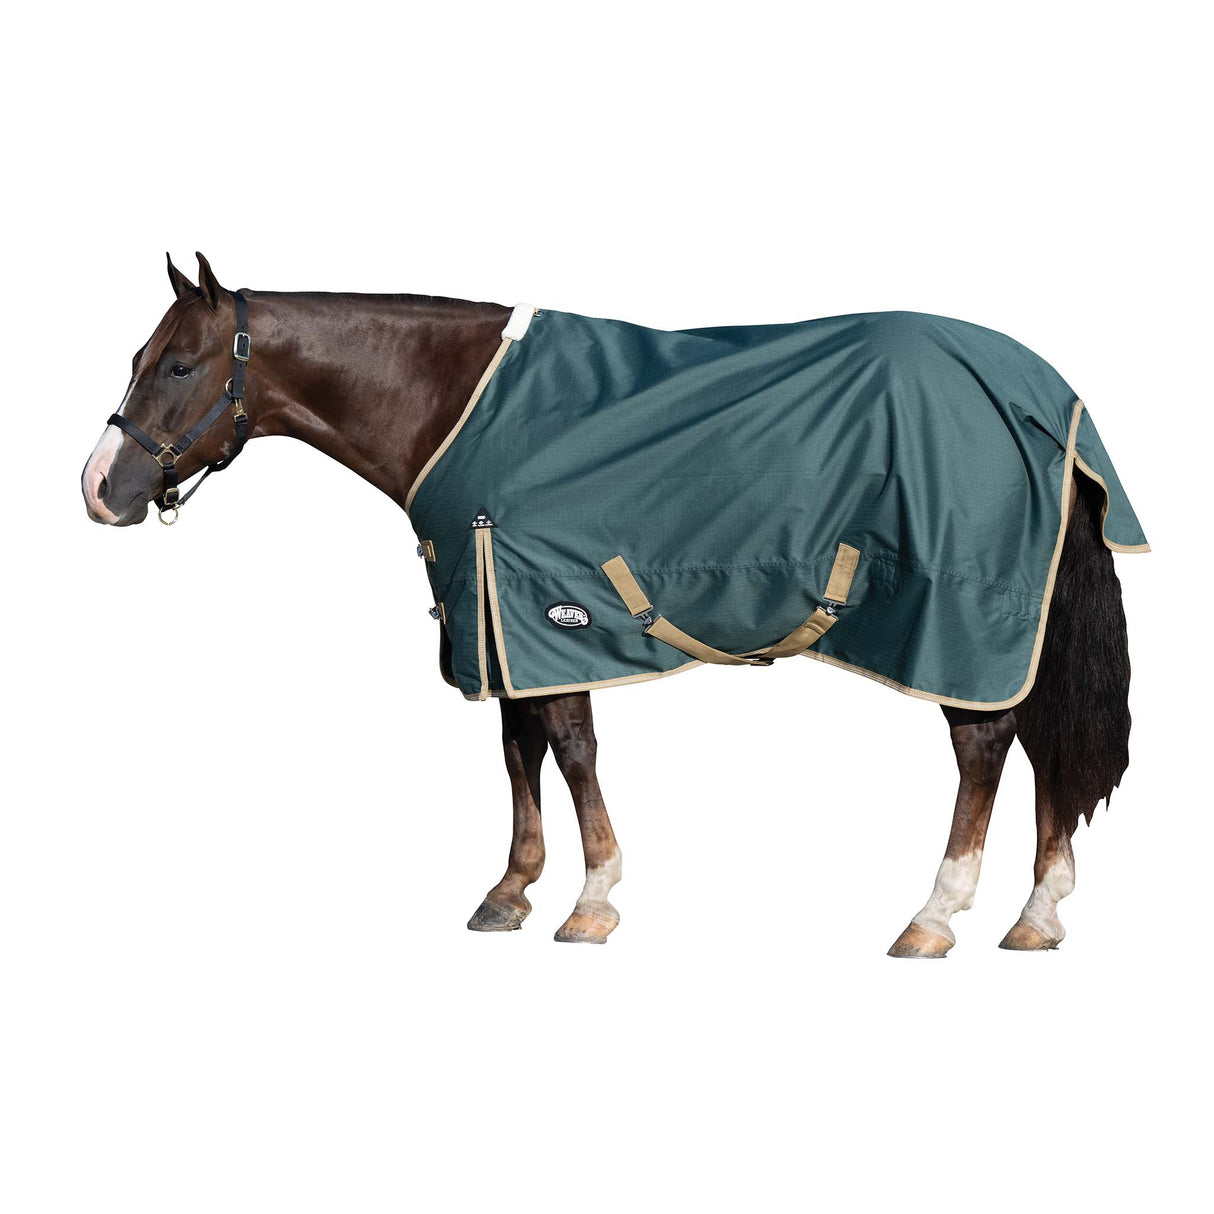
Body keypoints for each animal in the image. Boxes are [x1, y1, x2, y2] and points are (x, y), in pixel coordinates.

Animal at [81, 253, 1144, 955]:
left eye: (178, 365)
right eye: (138, 355)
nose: (97, 489)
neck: (457, 402)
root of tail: (1043, 393)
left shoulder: (546, 606)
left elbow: (571, 747)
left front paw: (591, 902)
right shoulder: (493, 613)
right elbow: (518, 747)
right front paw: (509, 892)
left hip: (963, 616)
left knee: (984, 744)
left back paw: (934, 917)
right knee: (1040, 740)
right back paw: (1037, 916)